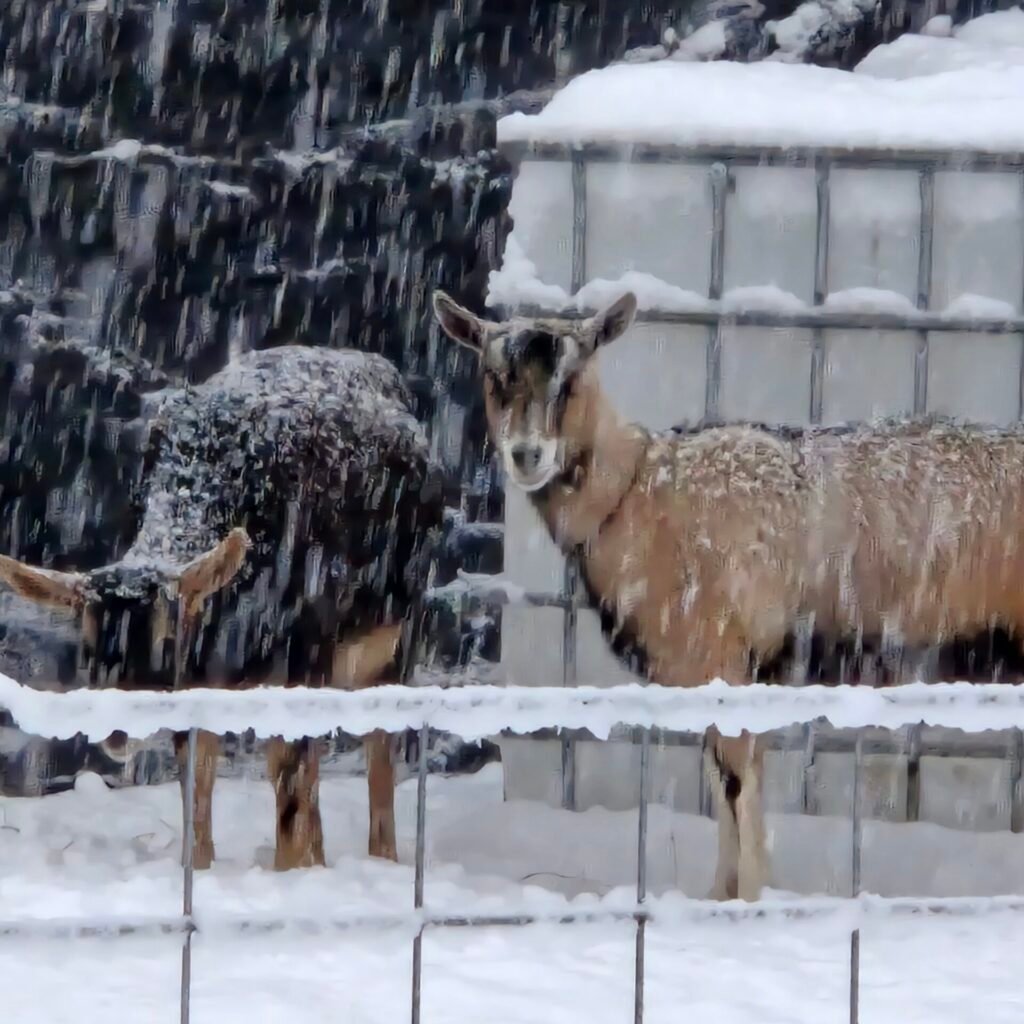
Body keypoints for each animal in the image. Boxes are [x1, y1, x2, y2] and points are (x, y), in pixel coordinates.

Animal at [0, 345, 442, 870]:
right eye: (87, 642)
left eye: (166, 639)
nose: (120, 726)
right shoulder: (200, 679)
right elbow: (199, 781)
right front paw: (200, 865)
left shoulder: (303, 649)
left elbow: (291, 781)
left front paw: (292, 869)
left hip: (394, 635)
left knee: (378, 747)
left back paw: (383, 856)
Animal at [434, 287, 1024, 901]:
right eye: (494, 378)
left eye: (571, 379)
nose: (527, 455)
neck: (637, 496)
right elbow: (724, 784)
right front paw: (719, 893)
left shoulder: (718, 654)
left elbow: (739, 787)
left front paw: (746, 898)